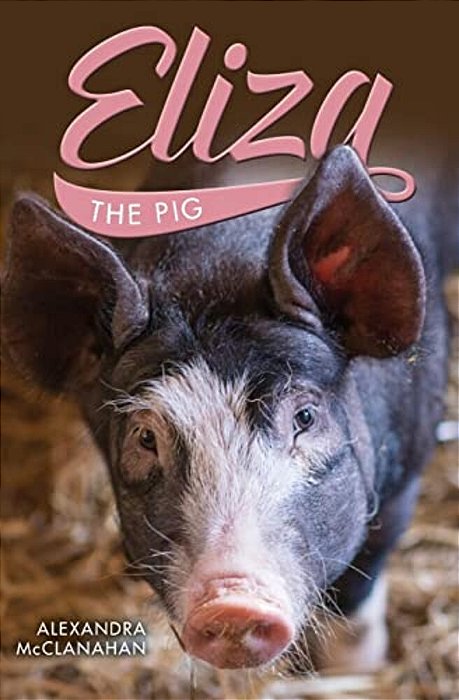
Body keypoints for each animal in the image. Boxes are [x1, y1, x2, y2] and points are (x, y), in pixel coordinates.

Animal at [2, 146, 457, 671]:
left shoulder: (406, 474)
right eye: (145, 437)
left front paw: (355, 673)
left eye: (305, 417)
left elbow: (358, 595)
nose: (232, 602)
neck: (213, 273)